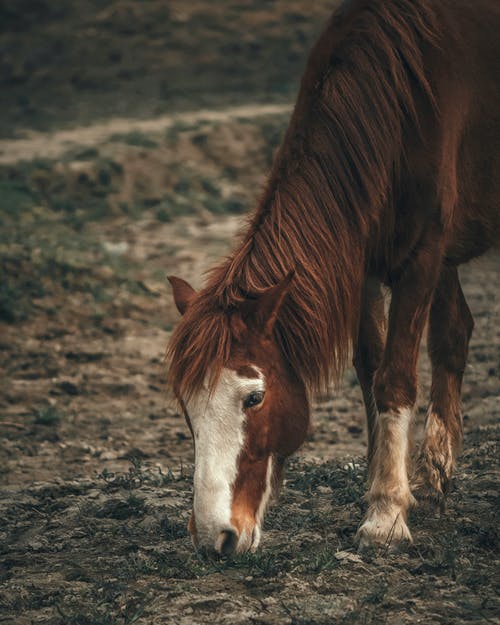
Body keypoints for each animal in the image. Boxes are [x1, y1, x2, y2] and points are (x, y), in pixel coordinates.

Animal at [166, 0, 498, 556]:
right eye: (186, 406)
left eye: (253, 397)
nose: (215, 537)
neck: (401, 107)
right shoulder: (359, 259)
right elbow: (369, 368)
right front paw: (382, 488)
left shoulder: (422, 257)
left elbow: (394, 377)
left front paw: (385, 515)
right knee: (454, 333)